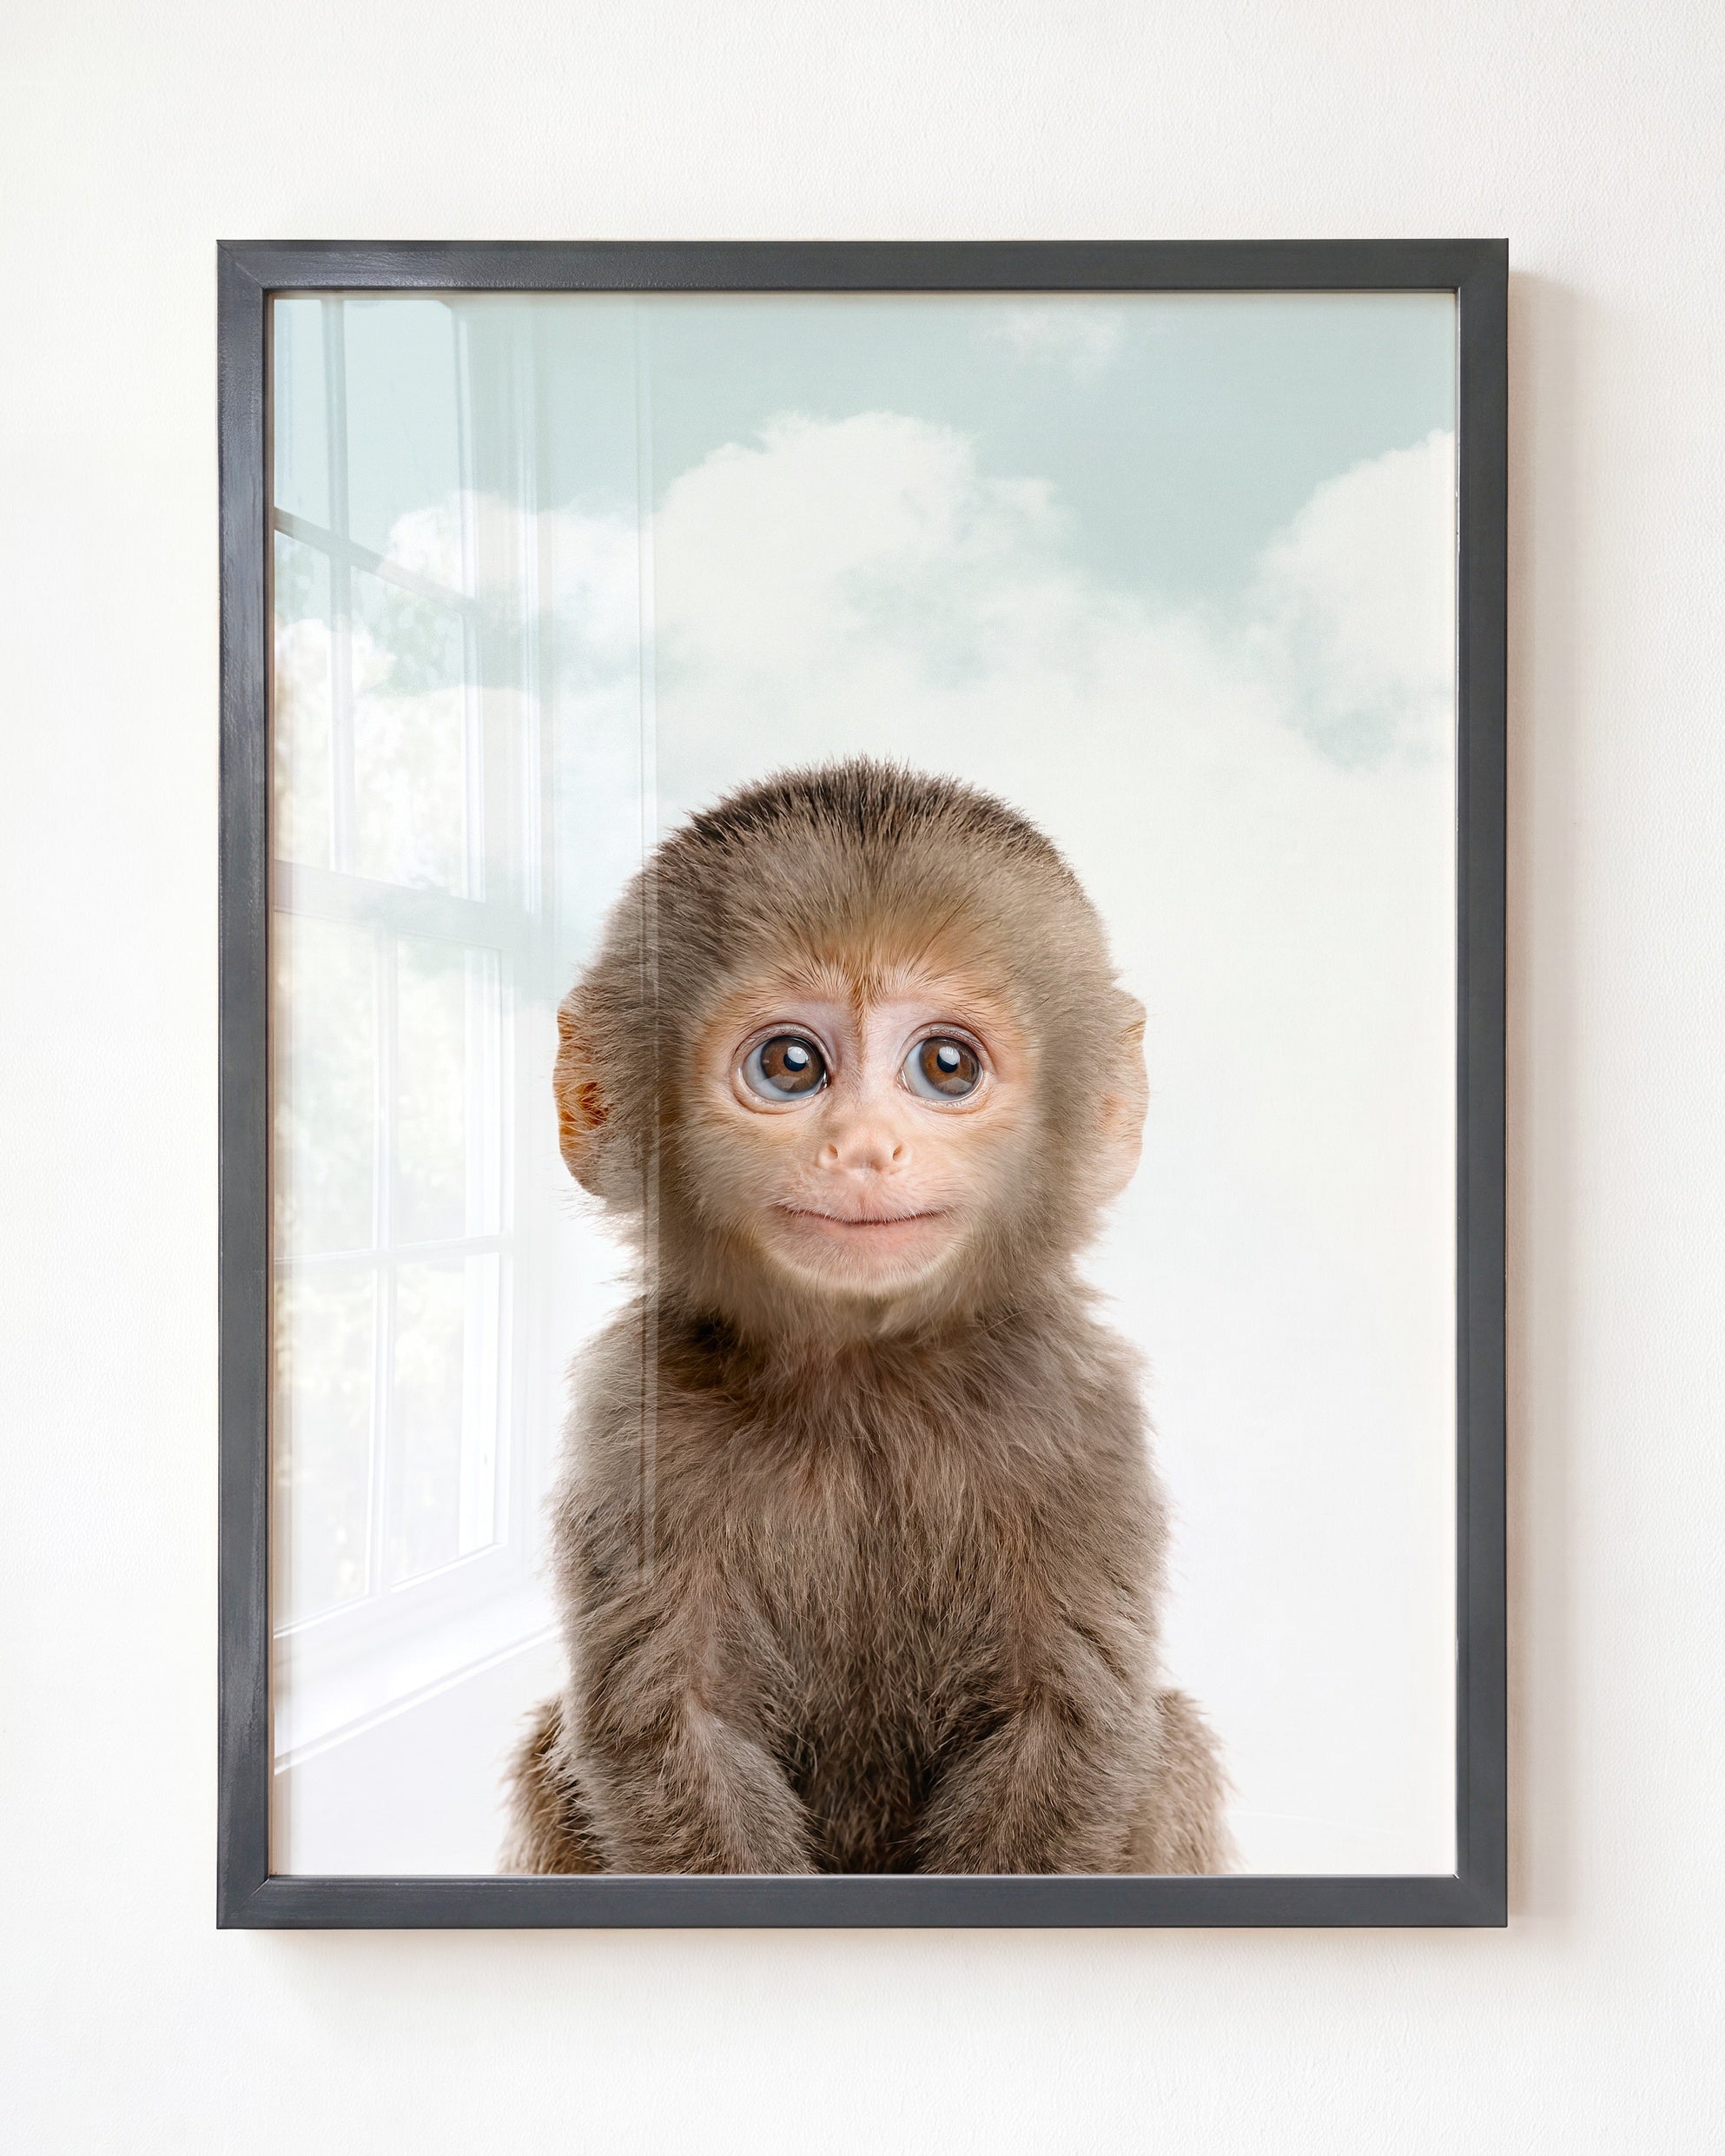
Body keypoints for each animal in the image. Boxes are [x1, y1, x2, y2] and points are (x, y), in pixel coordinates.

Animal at [501, 759, 1229, 1875]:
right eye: (791, 1065)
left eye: (945, 1066)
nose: (863, 1147)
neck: (864, 1378)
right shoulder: (635, 1416)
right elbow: (672, 1726)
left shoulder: (1078, 1411)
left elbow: (1065, 1724)